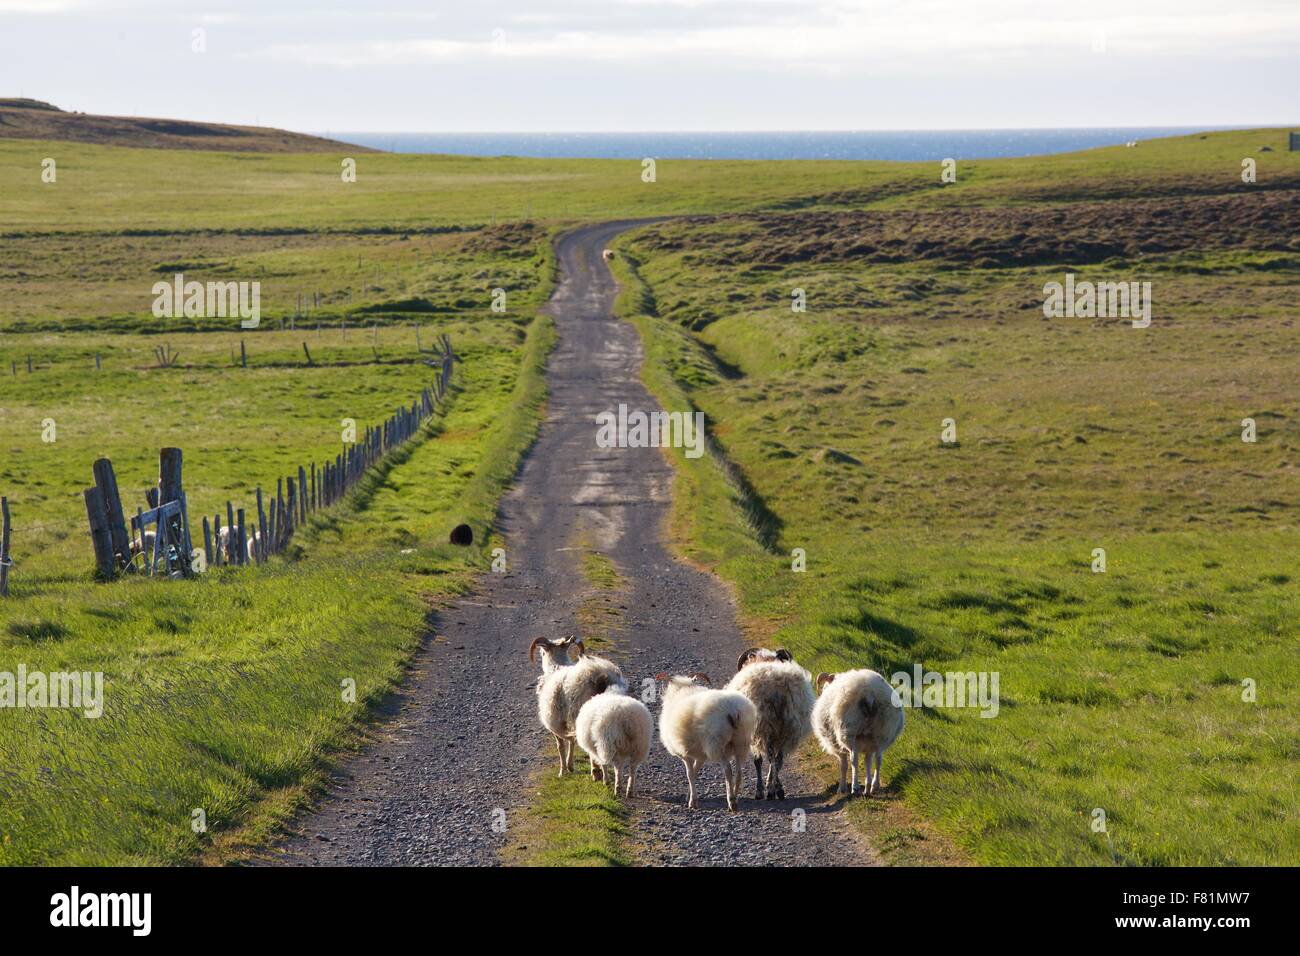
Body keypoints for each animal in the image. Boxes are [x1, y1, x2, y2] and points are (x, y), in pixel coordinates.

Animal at [530, 634, 626, 780]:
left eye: (542, 652)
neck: (556, 666)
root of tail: (601, 677)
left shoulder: (554, 720)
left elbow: (561, 745)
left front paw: (563, 770)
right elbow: (572, 741)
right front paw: (570, 766)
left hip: (581, 712)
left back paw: (596, 771)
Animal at [655, 671, 759, 816]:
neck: (682, 690)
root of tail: (733, 710)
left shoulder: (685, 753)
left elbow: (689, 774)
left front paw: (692, 802)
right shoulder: (700, 755)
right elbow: (694, 772)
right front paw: (689, 796)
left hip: (716, 744)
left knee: (728, 770)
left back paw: (731, 801)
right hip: (741, 742)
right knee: (739, 772)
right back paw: (735, 798)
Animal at [722, 650, 811, 801]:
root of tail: (778, 687)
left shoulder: (754, 735)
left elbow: (757, 761)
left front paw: (759, 791)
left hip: (766, 727)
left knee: (771, 758)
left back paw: (771, 789)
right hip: (788, 728)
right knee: (778, 760)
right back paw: (778, 789)